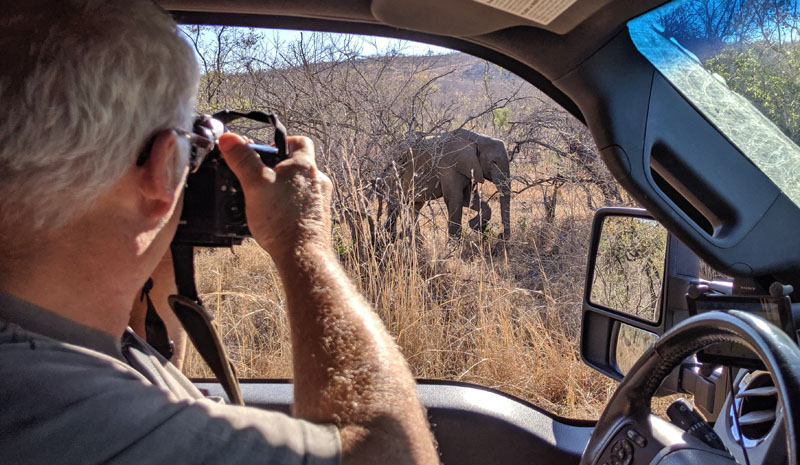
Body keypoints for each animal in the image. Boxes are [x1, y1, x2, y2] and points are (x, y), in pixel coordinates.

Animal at [376, 130, 512, 241]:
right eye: (494, 162)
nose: (501, 236)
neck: (478, 139)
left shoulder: (471, 168)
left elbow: (469, 199)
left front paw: (475, 226)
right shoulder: (448, 166)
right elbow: (455, 199)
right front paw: (454, 246)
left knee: (413, 206)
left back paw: (413, 241)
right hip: (395, 174)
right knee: (397, 204)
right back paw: (394, 238)